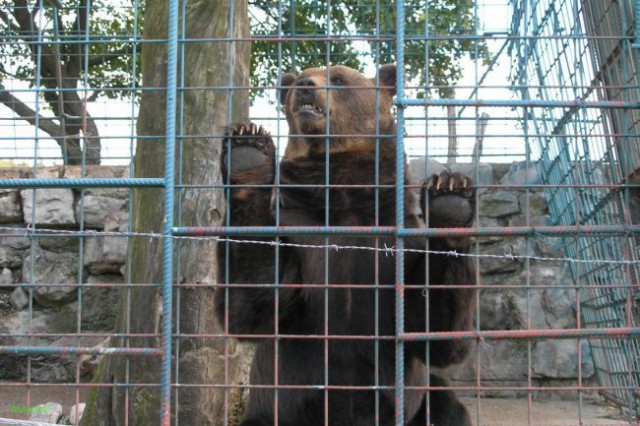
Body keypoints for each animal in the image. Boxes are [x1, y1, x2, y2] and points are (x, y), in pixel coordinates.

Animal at [215, 64, 476, 426]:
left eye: (338, 79)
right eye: (298, 80)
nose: (305, 86)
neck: (344, 199)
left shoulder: (398, 241)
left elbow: (434, 329)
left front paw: (449, 196)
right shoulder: (299, 233)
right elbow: (255, 304)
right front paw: (248, 149)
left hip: (417, 404)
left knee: (445, 406)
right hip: (273, 413)